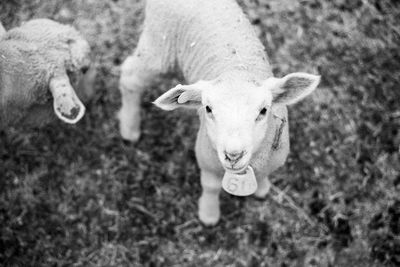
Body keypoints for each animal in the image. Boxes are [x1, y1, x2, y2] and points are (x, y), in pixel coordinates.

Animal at [117, 0, 320, 226]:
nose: (233, 155)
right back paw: (129, 127)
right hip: (158, 45)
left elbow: (264, 175)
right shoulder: (207, 160)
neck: (237, 70)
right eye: (208, 109)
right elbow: (211, 187)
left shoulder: (273, 158)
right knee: (130, 76)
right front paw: (209, 215)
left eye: (264, 110)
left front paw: (263, 189)